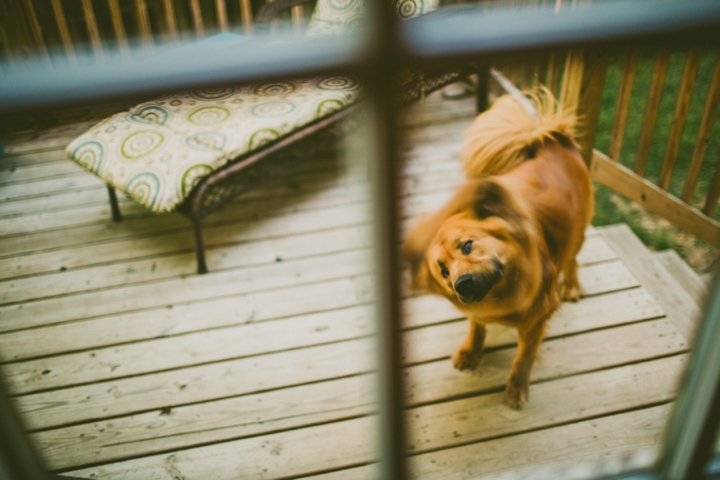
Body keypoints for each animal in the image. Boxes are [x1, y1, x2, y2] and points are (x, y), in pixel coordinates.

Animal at [402, 89, 592, 408]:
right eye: (443, 271)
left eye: (467, 245)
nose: (462, 284)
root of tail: (550, 139)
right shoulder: (478, 312)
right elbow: (476, 325)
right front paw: (471, 350)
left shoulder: (536, 319)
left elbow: (524, 358)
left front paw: (517, 388)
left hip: (577, 229)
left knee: (573, 257)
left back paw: (573, 285)